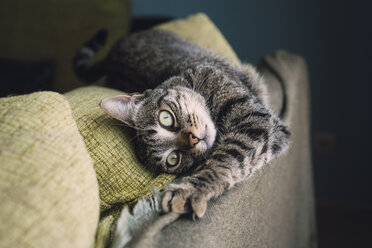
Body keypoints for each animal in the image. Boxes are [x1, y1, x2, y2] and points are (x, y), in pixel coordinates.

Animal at [74, 29, 290, 217]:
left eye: (166, 119)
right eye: (173, 159)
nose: (193, 140)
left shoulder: (255, 120)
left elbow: (227, 156)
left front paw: (191, 188)